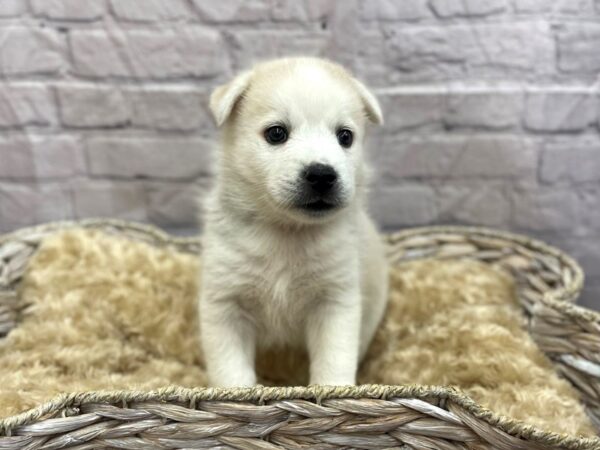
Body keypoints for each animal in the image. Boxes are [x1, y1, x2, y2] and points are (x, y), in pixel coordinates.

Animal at [199, 56, 390, 386]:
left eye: (345, 136)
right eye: (276, 133)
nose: (322, 175)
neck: (287, 232)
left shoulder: (335, 300)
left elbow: (334, 361)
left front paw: (334, 391)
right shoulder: (224, 302)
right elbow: (230, 370)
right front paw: (238, 393)